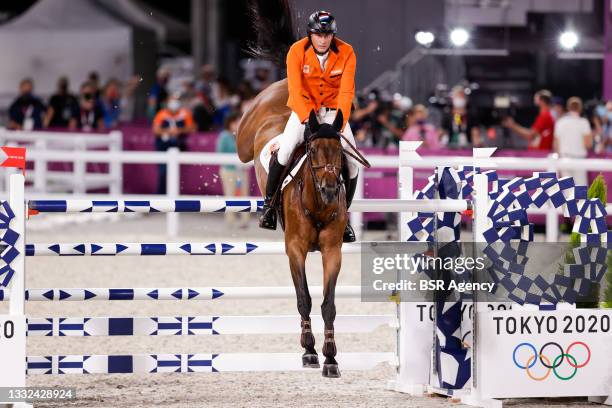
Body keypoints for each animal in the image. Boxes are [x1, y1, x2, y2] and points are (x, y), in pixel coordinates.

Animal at [237, 79, 346, 376]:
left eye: (340, 152)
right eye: (312, 151)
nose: (329, 190)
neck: (317, 203)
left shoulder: (333, 251)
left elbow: (328, 304)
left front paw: (330, 357)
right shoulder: (295, 249)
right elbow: (304, 298)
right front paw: (309, 351)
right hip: (245, 139)